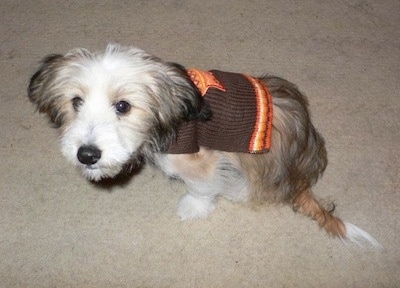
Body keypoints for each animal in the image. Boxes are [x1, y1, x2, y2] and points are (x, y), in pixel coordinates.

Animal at [28, 44, 382, 246]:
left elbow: (200, 187)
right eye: (76, 102)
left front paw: (194, 207)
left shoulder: (198, 159)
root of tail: (302, 177)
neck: (170, 110)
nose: (87, 155)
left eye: (123, 106)